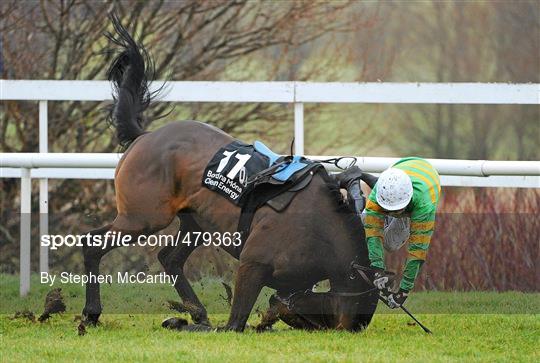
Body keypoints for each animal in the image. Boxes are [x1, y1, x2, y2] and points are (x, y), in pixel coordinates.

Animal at [83, 17, 380, 334]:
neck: (319, 225)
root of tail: (145, 135)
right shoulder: (252, 264)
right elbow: (234, 323)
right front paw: (184, 322)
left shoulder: (293, 284)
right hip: (144, 217)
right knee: (93, 243)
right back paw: (91, 313)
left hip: (195, 221)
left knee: (169, 258)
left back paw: (197, 310)